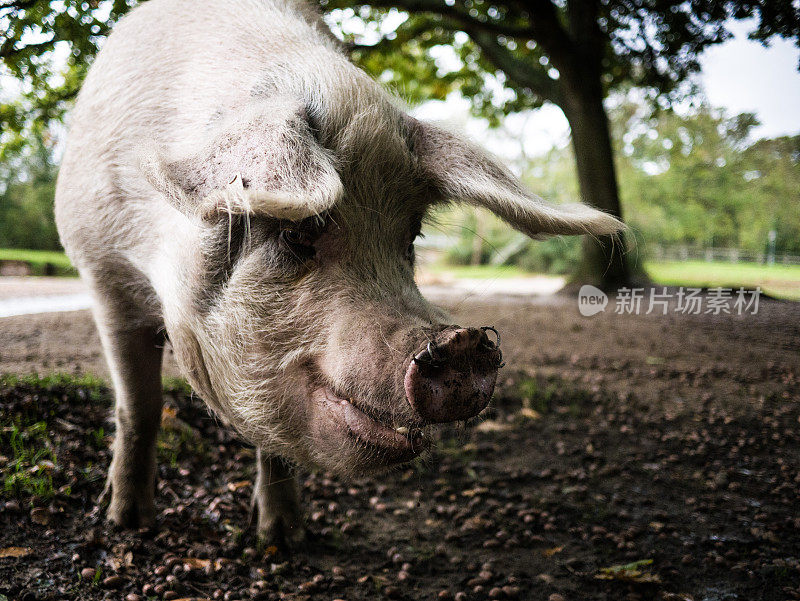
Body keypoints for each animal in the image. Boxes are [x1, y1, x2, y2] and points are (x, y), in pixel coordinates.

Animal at [54, 0, 624, 548]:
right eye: (298, 232)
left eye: (411, 236)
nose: (461, 339)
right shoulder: (103, 272)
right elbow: (140, 408)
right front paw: (126, 524)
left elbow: (273, 442)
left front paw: (284, 540)